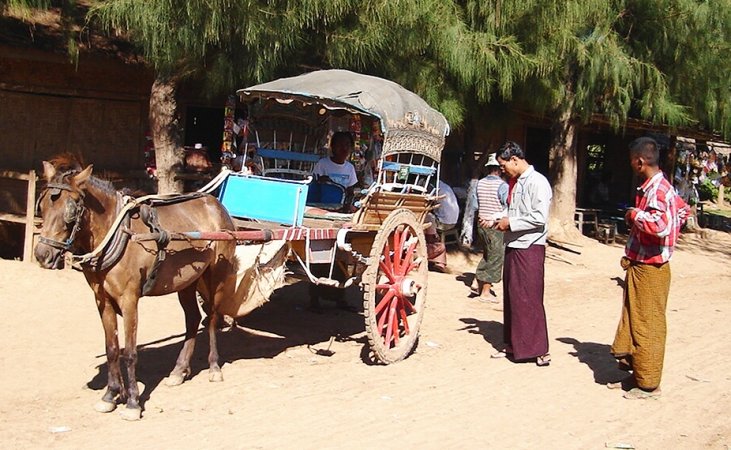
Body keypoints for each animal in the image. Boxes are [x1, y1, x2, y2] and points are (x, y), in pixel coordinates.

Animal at [35, 156, 237, 422]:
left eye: (71, 211)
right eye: (43, 206)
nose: (42, 255)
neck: (118, 234)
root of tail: (215, 204)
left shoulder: (129, 299)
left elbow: (130, 352)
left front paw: (132, 402)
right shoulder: (102, 300)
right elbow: (112, 349)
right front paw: (110, 396)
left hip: (216, 276)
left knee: (212, 317)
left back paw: (214, 367)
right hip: (187, 281)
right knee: (193, 319)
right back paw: (178, 371)